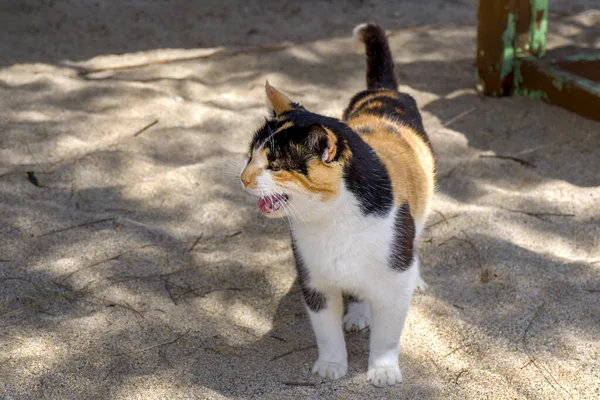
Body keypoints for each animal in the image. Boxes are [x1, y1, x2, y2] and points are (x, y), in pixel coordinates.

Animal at [240, 23, 436, 386]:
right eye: (250, 156)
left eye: (275, 165)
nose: (243, 178)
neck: (333, 220)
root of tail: (381, 91)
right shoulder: (314, 279)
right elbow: (327, 331)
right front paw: (332, 365)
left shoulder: (393, 280)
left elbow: (388, 334)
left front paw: (383, 370)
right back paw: (357, 314)